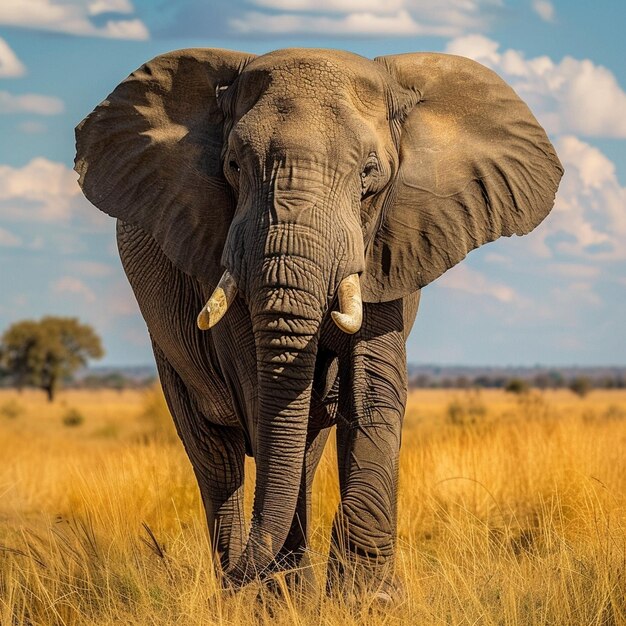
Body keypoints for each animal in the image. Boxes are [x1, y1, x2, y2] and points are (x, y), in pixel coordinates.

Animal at [73, 47, 560, 596]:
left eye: (370, 173)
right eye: (234, 165)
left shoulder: (391, 246)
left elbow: (372, 392)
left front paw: (367, 598)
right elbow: (262, 395)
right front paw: (283, 600)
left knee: (301, 447)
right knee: (217, 457)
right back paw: (245, 585)